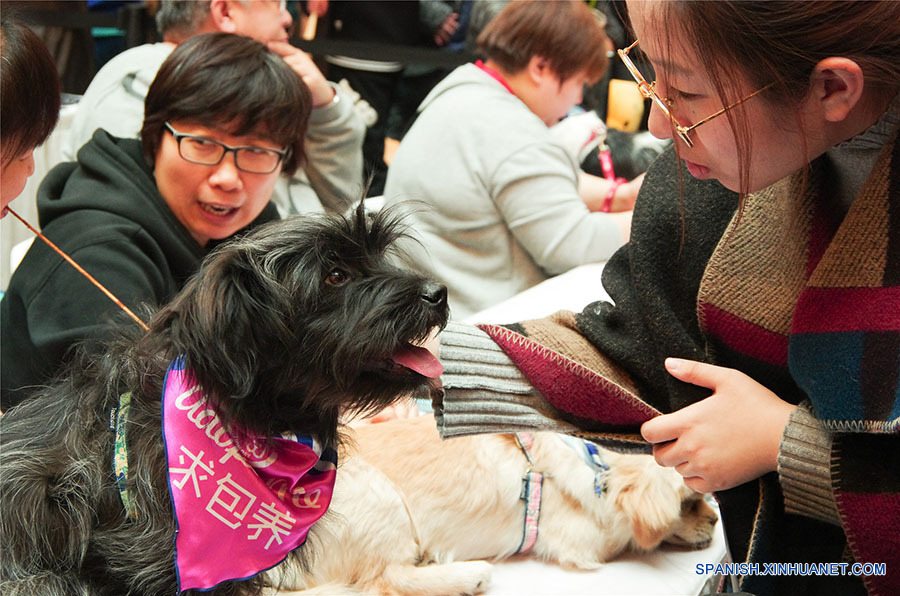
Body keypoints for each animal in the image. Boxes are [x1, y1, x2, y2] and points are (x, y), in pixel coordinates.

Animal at [268, 414, 716, 596]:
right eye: (690, 503)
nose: (715, 522)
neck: (594, 462)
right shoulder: (586, 542)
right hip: (381, 498)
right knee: (382, 580)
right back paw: (469, 576)